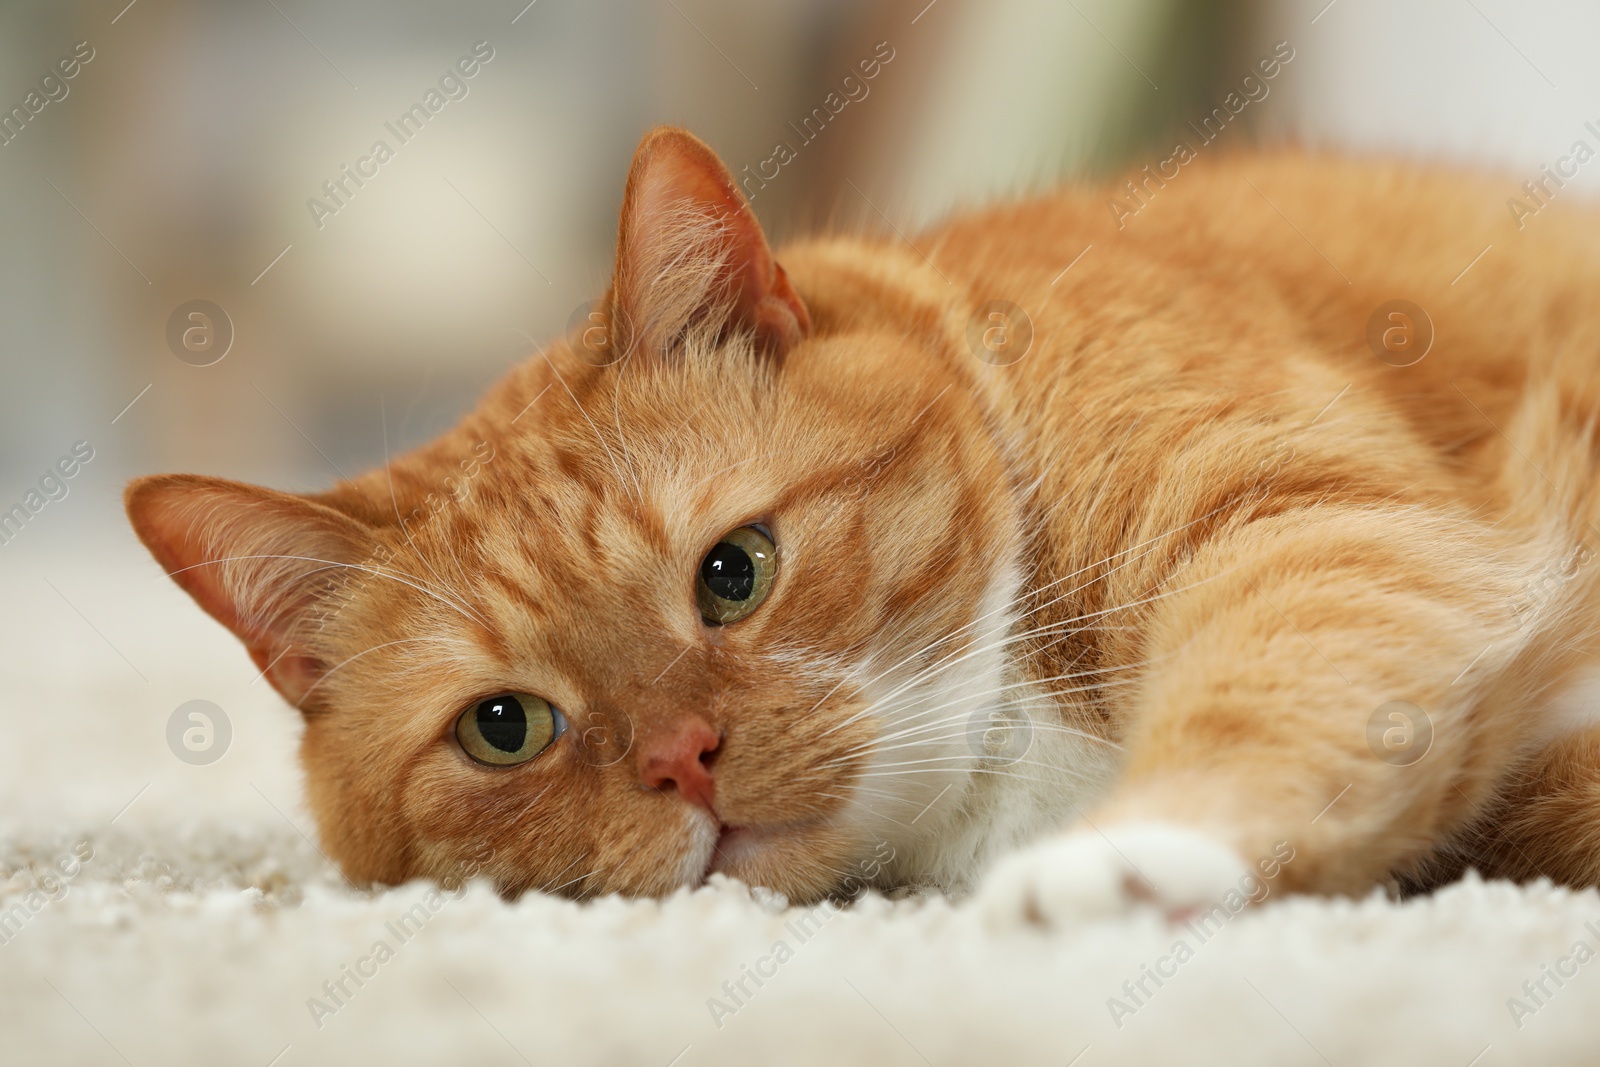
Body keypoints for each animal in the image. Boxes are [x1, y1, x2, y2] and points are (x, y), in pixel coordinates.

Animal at [128, 127, 1600, 927]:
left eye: (735, 573)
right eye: (505, 726)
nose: (682, 759)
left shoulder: (1310, 521)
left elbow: (1265, 694)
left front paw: (1123, 858)